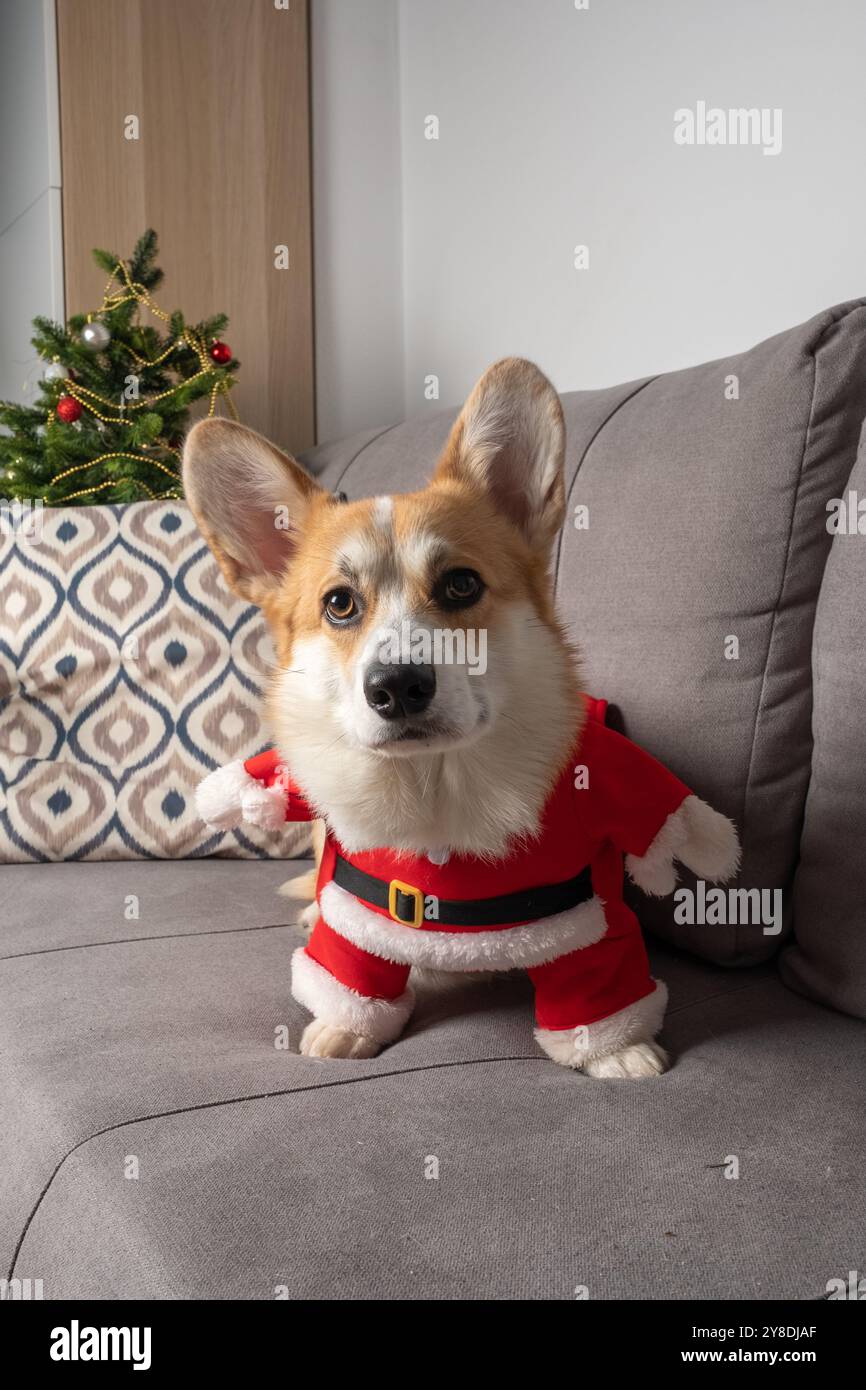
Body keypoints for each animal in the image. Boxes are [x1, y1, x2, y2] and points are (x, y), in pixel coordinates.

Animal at [184, 358, 739, 1073]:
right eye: (339, 603)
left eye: (461, 585)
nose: (397, 687)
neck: (434, 785)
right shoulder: (358, 923)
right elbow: (349, 970)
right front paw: (343, 1028)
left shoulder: (591, 918)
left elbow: (599, 989)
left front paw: (616, 1050)